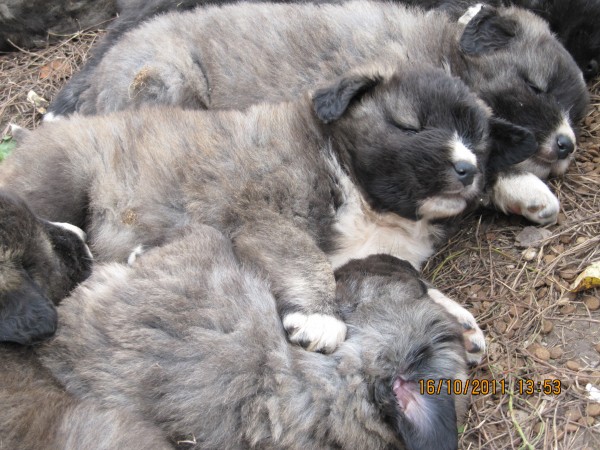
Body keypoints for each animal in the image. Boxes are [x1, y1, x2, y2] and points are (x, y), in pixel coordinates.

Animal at [44, 0, 588, 225]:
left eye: (576, 113)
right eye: (536, 86)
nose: (566, 144)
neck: (442, 52)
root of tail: (98, 79)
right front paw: (525, 186)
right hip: (166, 81)